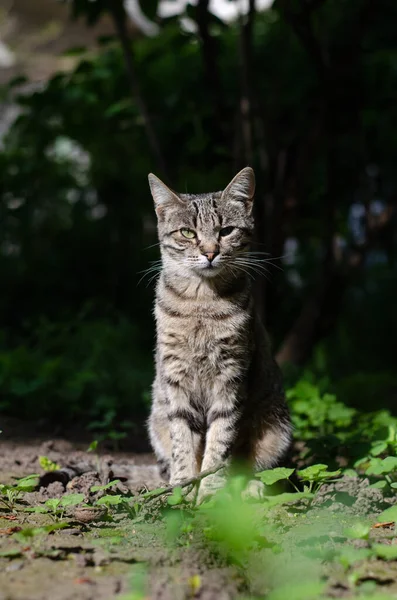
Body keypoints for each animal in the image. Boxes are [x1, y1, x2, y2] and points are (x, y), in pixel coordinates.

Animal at [145, 168, 290, 502]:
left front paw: (210, 493)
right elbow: (183, 440)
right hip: (156, 420)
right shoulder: (175, 376)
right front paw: (182, 488)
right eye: (187, 233)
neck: (202, 302)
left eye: (226, 231)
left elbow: (220, 442)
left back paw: (249, 489)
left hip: (275, 430)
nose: (210, 252)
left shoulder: (231, 376)